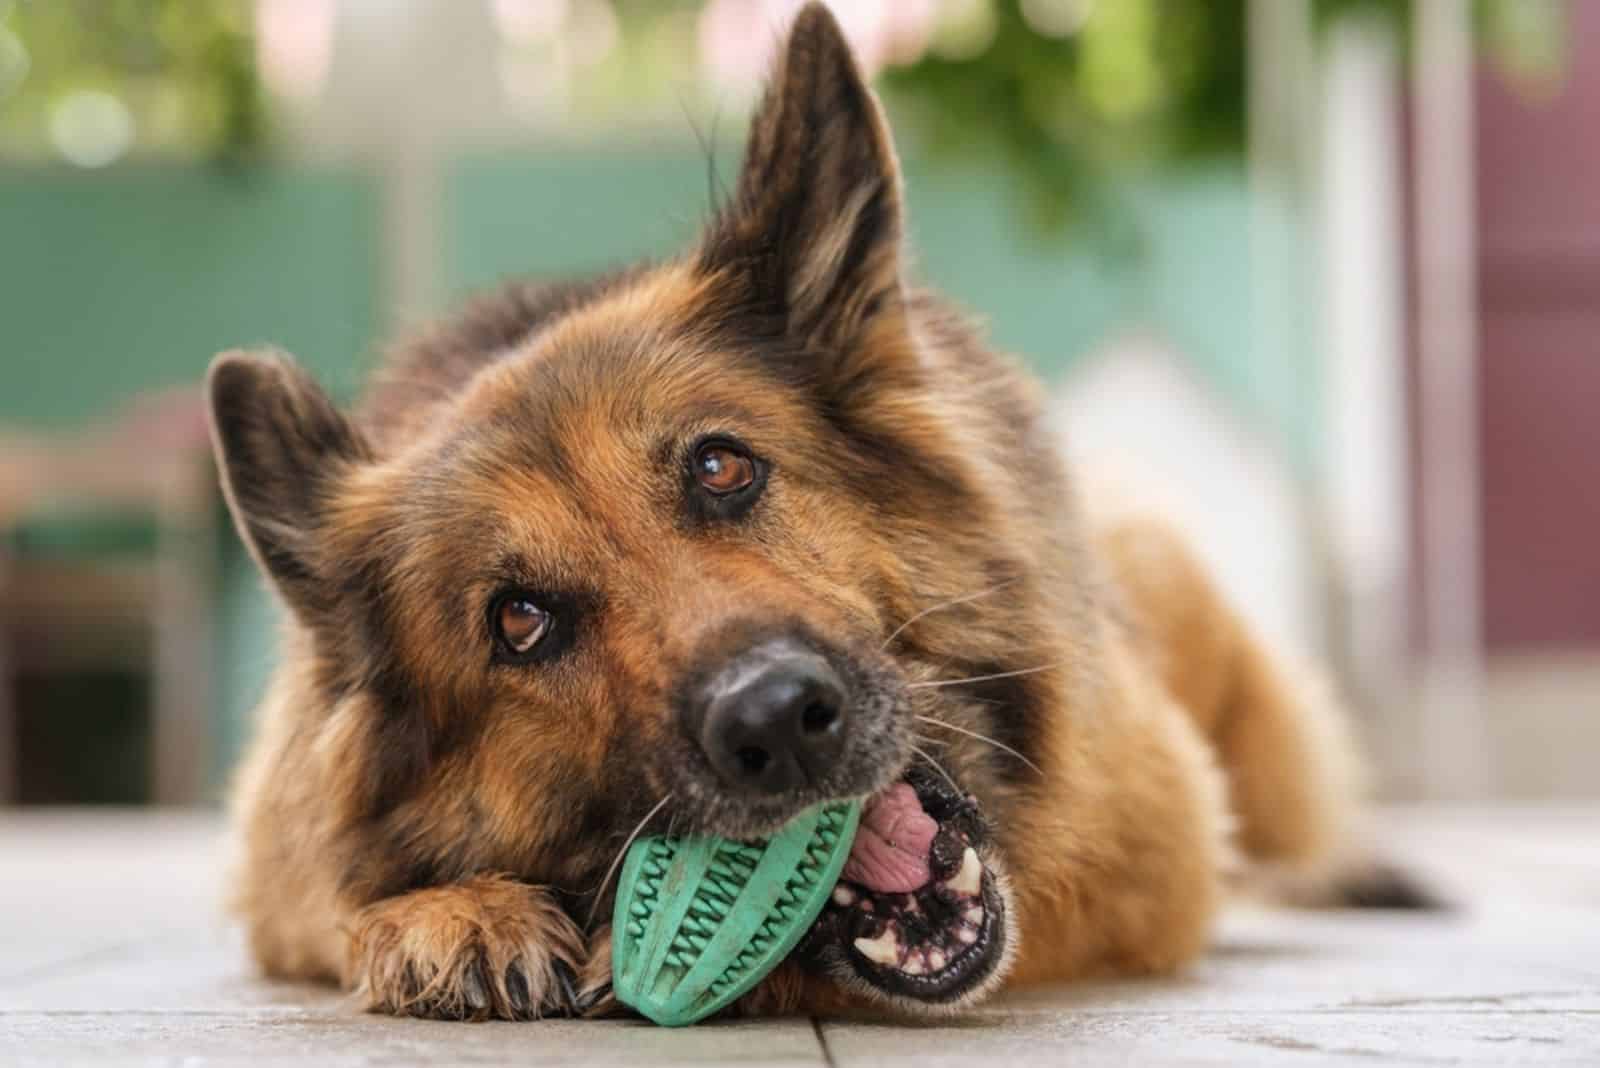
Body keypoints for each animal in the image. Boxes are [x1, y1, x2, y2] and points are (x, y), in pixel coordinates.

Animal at [203, 4, 1427, 1023]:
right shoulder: (276, 854)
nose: (778, 719)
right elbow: (335, 892)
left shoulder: (1156, 846)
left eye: (722, 468)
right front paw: (447, 913)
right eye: (520, 621)